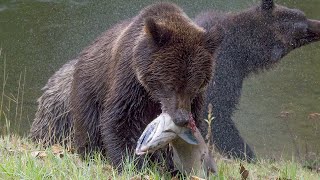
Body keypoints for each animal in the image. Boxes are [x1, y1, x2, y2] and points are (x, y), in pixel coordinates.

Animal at [30, 2, 221, 169]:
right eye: (170, 84)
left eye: (194, 85)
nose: (181, 118)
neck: (152, 93)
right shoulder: (129, 81)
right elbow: (120, 121)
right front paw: (133, 164)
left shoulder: (194, 101)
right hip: (88, 90)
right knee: (88, 127)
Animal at [195, 0, 320, 160]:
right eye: (302, 22)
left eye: (302, 15)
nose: (318, 24)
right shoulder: (222, 69)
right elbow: (217, 111)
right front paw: (246, 154)